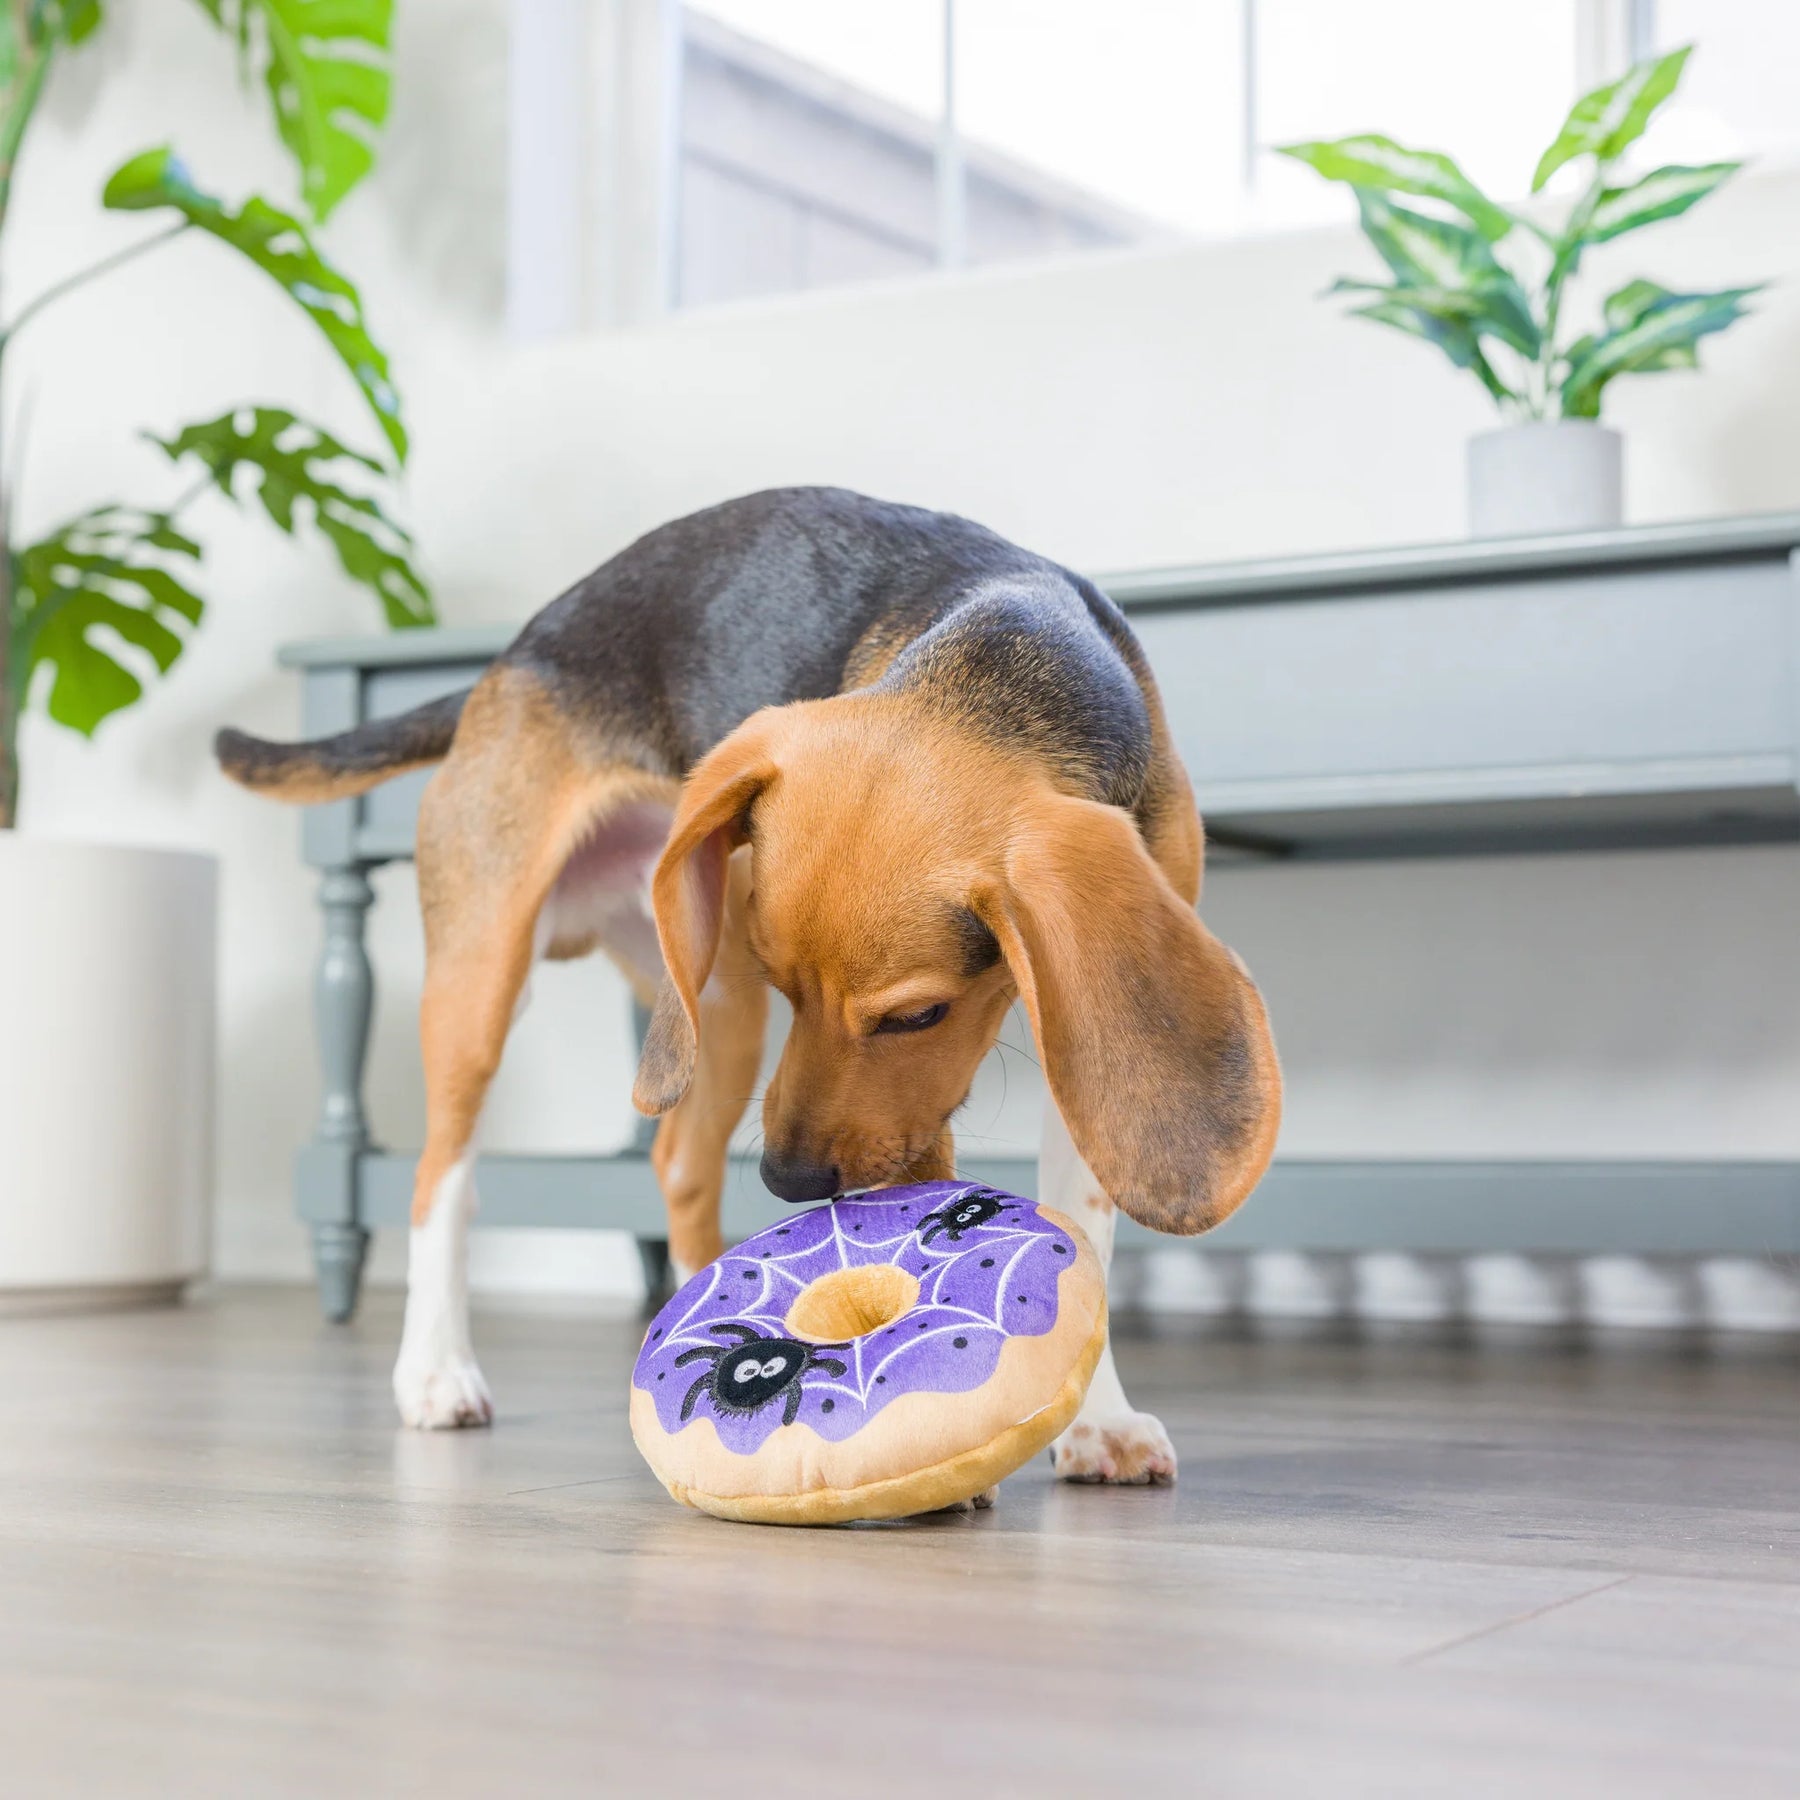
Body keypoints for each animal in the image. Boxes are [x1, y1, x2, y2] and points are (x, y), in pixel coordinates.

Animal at [217, 486, 1274, 1483]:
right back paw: (436, 1371)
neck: (1011, 660)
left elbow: (1082, 1227)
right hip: (489, 980)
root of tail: (512, 655)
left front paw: (1096, 1420)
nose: (790, 1182)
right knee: (442, 1179)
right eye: (790, 981)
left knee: (678, 1168)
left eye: (920, 1013)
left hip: (710, 1007)